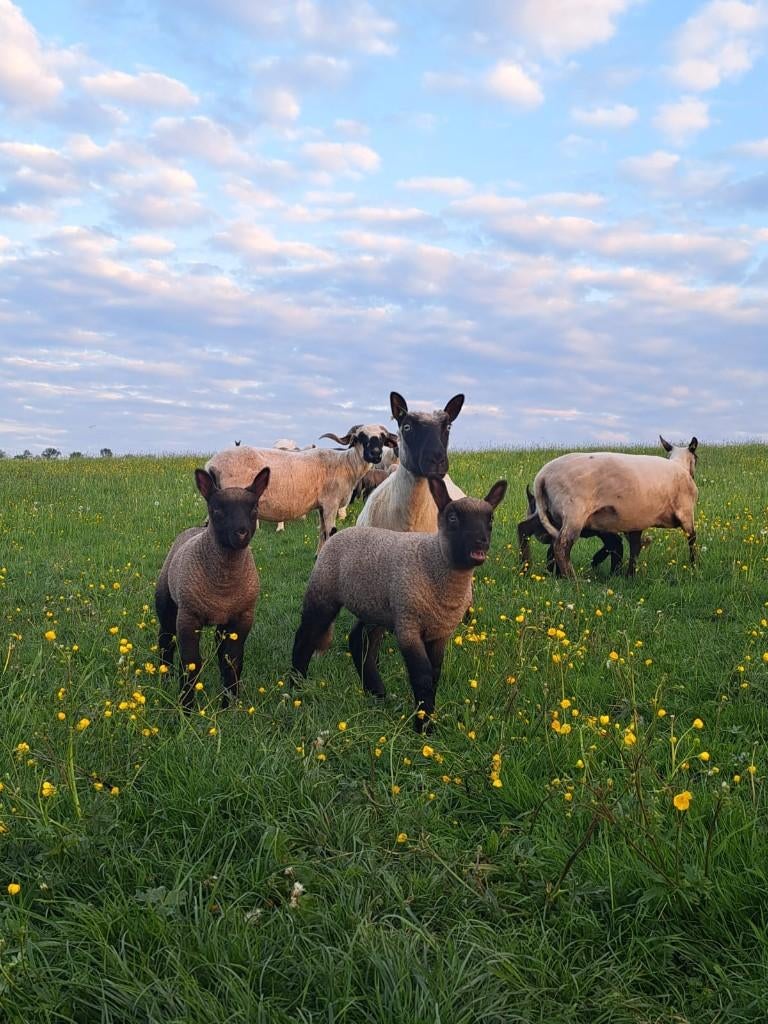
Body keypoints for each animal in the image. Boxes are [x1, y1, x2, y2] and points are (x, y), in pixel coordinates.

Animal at [155, 466, 270, 709]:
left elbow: (232, 662)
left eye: (254, 508)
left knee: (220, 652)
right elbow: (191, 665)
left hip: (222, 624)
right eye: (217, 509)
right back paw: (164, 676)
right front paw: (186, 707)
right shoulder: (188, 619)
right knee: (165, 638)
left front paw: (230, 705)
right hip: (167, 604)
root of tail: (198, 528)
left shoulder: (242, 619)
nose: (241, 533)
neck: (223, 585)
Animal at [206, 424, 398, 550]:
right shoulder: (330, 503)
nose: (375, 454)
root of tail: (211, 464)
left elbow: (322, 533)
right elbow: (330, 533)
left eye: (382, 437)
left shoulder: (321, 506)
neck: (344, 464)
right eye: (359, 437)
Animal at [291, 476, 507, 732]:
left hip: (375, 607)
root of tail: (336, 535)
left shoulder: (440, 632)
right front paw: (423, 727)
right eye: (453, 518)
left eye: (490, 519)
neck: (434, 563)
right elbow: (422, 675)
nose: (480, 543)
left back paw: (376, 692)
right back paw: (296, 686)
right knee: (306, 636)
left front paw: (427, 717)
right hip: (324, 593)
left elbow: (435, 673)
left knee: (358, 641)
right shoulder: (408, 624)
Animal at [532, 436, 698, 578]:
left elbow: (635, 547)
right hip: (574, 513)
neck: (680, 466)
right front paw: (694, 566)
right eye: (697, 458)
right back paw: (572, 578)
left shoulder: (637, 520)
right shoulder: (686, 512)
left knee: (553, 545)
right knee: (561, 546)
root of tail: (542, 476)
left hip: (556, 516)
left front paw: (630, 575)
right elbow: (692, 539)